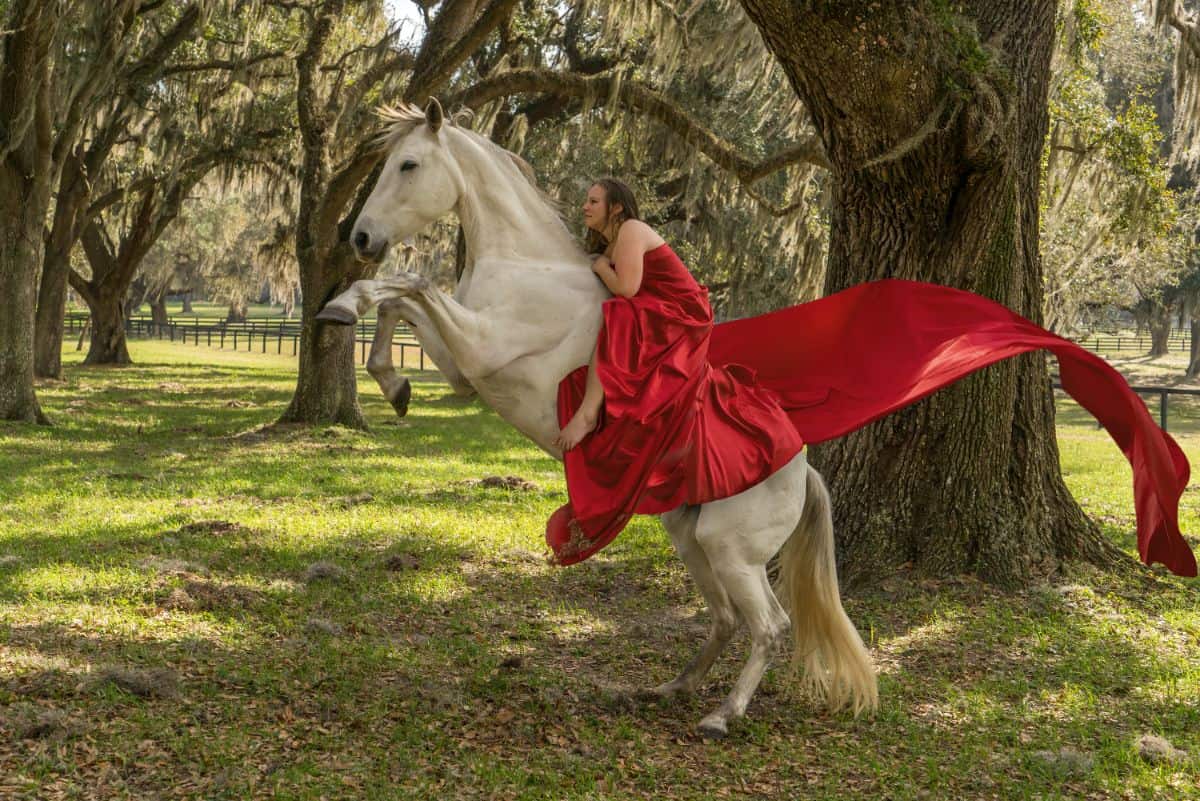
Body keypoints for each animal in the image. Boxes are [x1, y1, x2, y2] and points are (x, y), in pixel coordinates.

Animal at [321, 97, 883, 733]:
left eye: (409, 164)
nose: (361, 236)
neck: (527, 265)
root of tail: (801, 469)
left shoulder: (481, 345)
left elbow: (408, 283)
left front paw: (343, 308)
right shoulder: (466, 368)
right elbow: (398, 301)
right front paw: (391, 381)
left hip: (730, 549)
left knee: (769, 625)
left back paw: (722, 715)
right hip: (690, 538)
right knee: (725, 619)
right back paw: (671, 687)